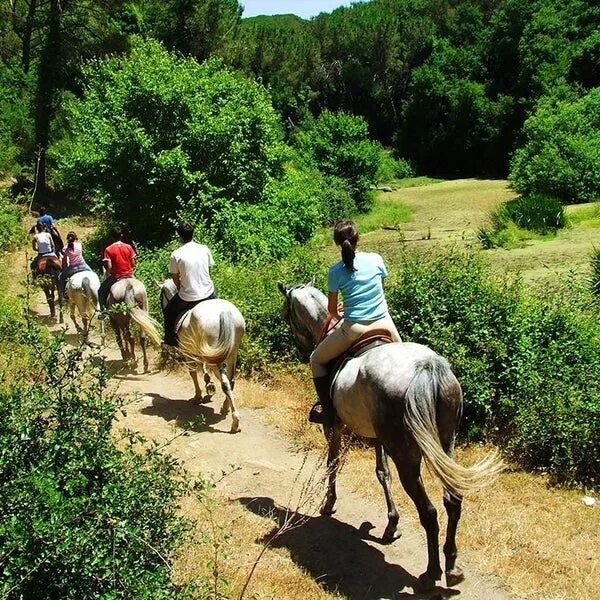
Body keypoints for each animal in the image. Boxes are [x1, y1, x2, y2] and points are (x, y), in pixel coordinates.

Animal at [159, 278, 246, 434]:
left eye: (161, 295)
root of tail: (225, 312)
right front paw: (208, 383)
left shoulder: (188, 351)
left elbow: (193, 372)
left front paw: (198, 396)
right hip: (231, 352)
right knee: (231, 380)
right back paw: (225, 407)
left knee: (225, 382)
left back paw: (235, 422)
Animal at [278, 282, 504, 592]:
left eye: (286, 314)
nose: (301, 350)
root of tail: (427, 367)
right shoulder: (379, 438)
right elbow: (382, 472)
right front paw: (391, 525)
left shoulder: (336, 427)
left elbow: (333, 464)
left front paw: (329, 503)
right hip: (446, 443)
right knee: (452, 500)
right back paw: (452, 565)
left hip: (406, 453)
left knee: (429, 512)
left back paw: (431, 572)